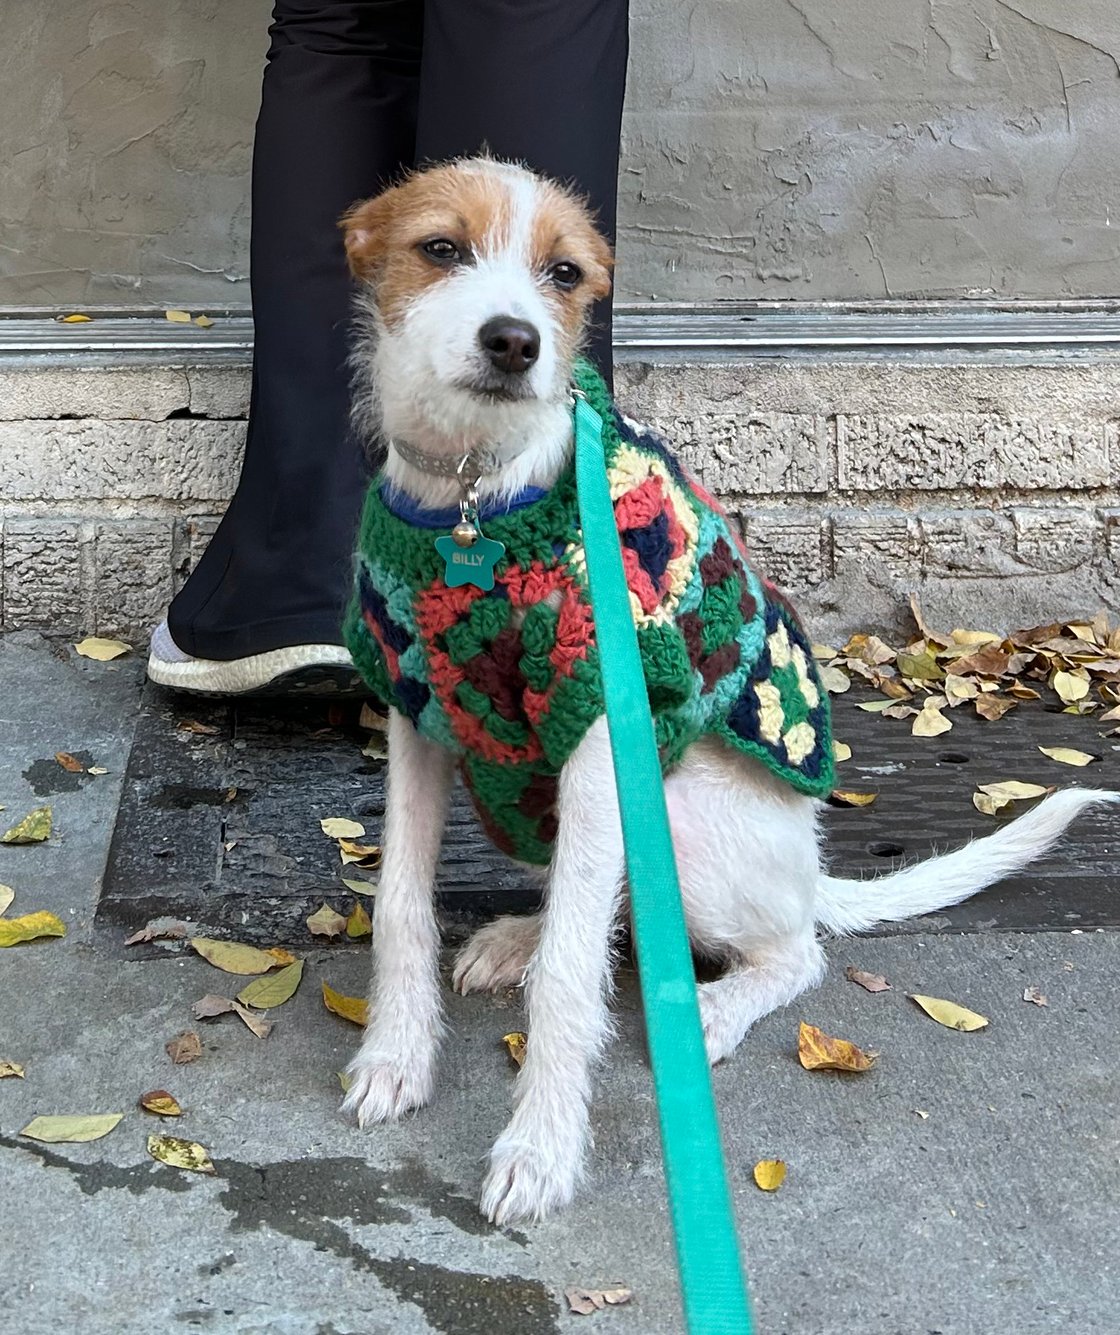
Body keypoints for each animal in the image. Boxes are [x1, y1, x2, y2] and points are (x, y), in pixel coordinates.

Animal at [332, 156, 1110, 1222]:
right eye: (440, 248)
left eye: (564, 273)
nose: (516, 341)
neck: (474, 499)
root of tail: (809, 866)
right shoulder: (418, 715)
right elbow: (401, 906)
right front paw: (398, 1054)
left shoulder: (602, 728)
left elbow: (572, 973)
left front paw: (541, 1146)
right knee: (608, 906)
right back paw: (521, 938)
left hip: (680, 820)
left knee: (784, 950)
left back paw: (707, 1007)